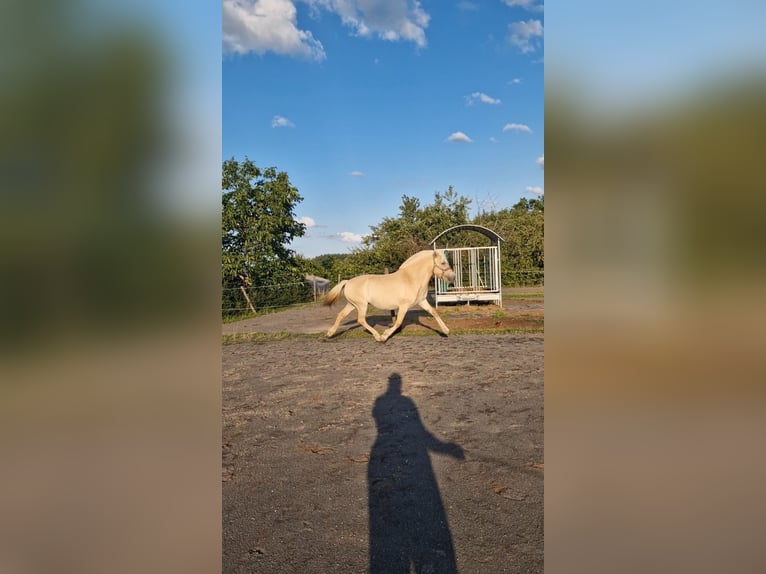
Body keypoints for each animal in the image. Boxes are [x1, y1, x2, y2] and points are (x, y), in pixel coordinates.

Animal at [324, 249, 457, 342]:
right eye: (443, 262)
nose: (453, 276)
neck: (411, 278)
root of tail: (347, 282)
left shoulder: (422, 301)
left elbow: (434, 312)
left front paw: (446, 331)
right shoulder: (403, 306)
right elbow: (398, 322)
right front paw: (385, 336)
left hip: (352, 304)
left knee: (341, 315)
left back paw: (330, 333)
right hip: (361, 305)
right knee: (361, 320)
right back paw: (377, 336)